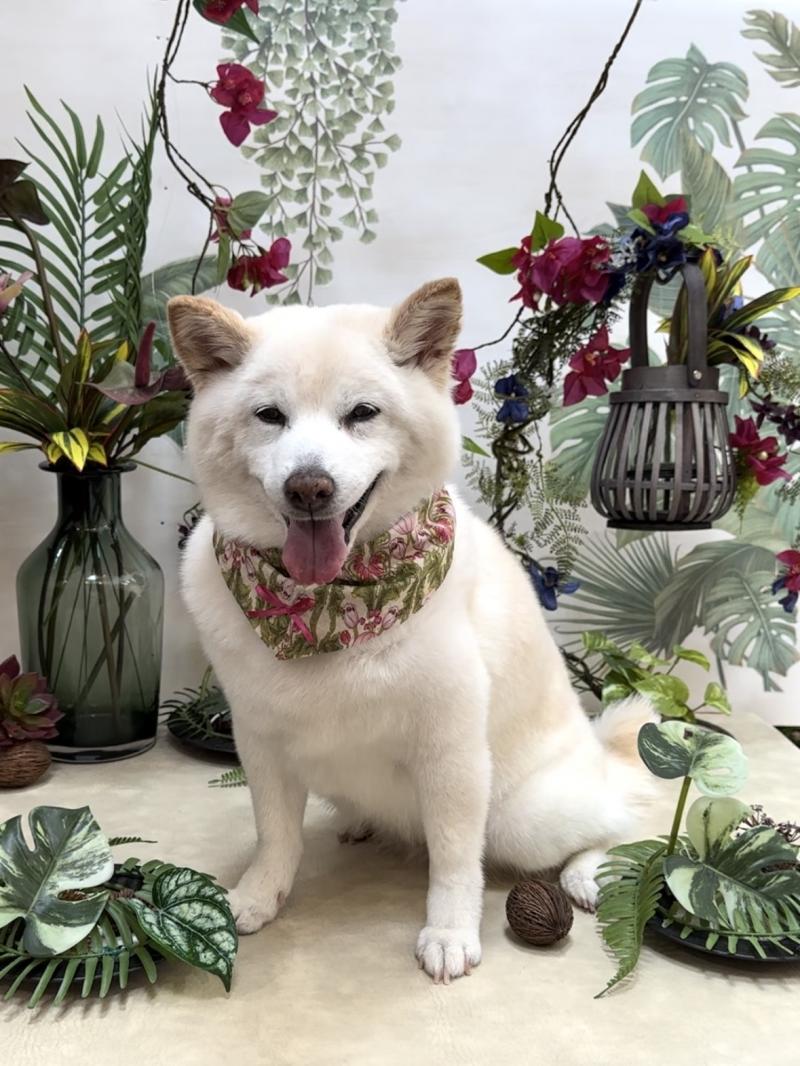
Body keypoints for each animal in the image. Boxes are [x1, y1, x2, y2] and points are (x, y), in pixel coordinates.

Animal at [167, 279, 655, 984]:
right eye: (269, 416)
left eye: (362, 413)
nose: (308, 486)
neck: (326, 609)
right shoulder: (260, 739)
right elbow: (275, 835)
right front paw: (259, 896)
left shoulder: (450, 749)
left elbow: (454, 859)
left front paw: (449, 932)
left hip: (522, 817)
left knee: (624, 815)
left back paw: (591, 868)